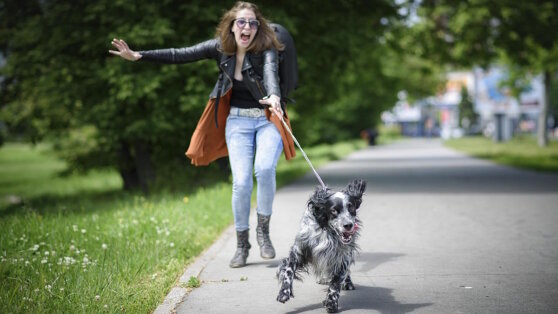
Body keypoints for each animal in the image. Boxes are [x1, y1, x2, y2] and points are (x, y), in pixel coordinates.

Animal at [278, 179, 368, 312]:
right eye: (334, 210)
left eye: (351, 208)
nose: (348, 225)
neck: (327, 233)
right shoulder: (298, 251)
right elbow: (288, 271)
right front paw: (284, 292)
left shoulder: (341, 258)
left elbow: (335, 284)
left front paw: (331, 302)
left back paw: (348, 283)